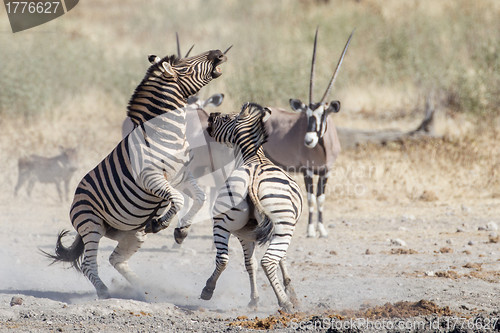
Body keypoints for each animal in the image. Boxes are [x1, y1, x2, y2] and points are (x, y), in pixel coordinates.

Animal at [42, 46, 229, 298]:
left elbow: (200, 197)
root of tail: (75, 198)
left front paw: (181, 231)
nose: (217, 52)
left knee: (116, 259)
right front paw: (161, 223)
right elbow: (179, 199)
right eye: (185, 65)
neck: (165, 131)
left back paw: (144, 289)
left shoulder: (181, 176)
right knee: (89, 264)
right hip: (91, 223)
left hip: (132, 232)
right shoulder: (151, 178)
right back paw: (105, 291)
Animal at [200, 102, 302, 312]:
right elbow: (278, 260)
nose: (210, 116)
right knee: (268, 261)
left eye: (225, 117)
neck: (253, 157)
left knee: (223, 258)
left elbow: (250, 264)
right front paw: (290, 293)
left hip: (224, 223)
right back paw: (284, 302)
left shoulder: (246, 233)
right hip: (281, 226)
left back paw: (208, 289)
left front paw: (255, 299)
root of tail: (253, 181)